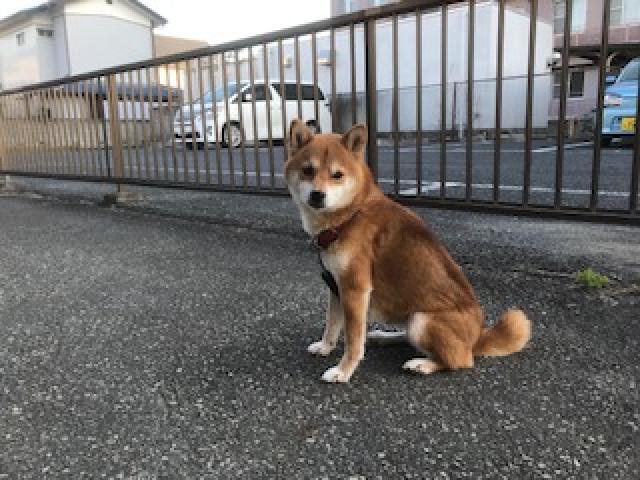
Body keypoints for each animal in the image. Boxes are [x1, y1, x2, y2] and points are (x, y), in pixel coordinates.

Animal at [284, 119, 528, 382]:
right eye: (308, 170)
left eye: (337, 175)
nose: (317, 195)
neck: (350, 215)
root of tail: (477, 338)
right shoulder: (335, 285)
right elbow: (332, 324)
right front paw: (325, 347)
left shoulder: (354, 288)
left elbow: (353, 340)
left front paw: (343, 371)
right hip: (412, 320)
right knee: (410, 337)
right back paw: (385, 337)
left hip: (423, 321)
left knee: (460, 360)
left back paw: (423, 364)